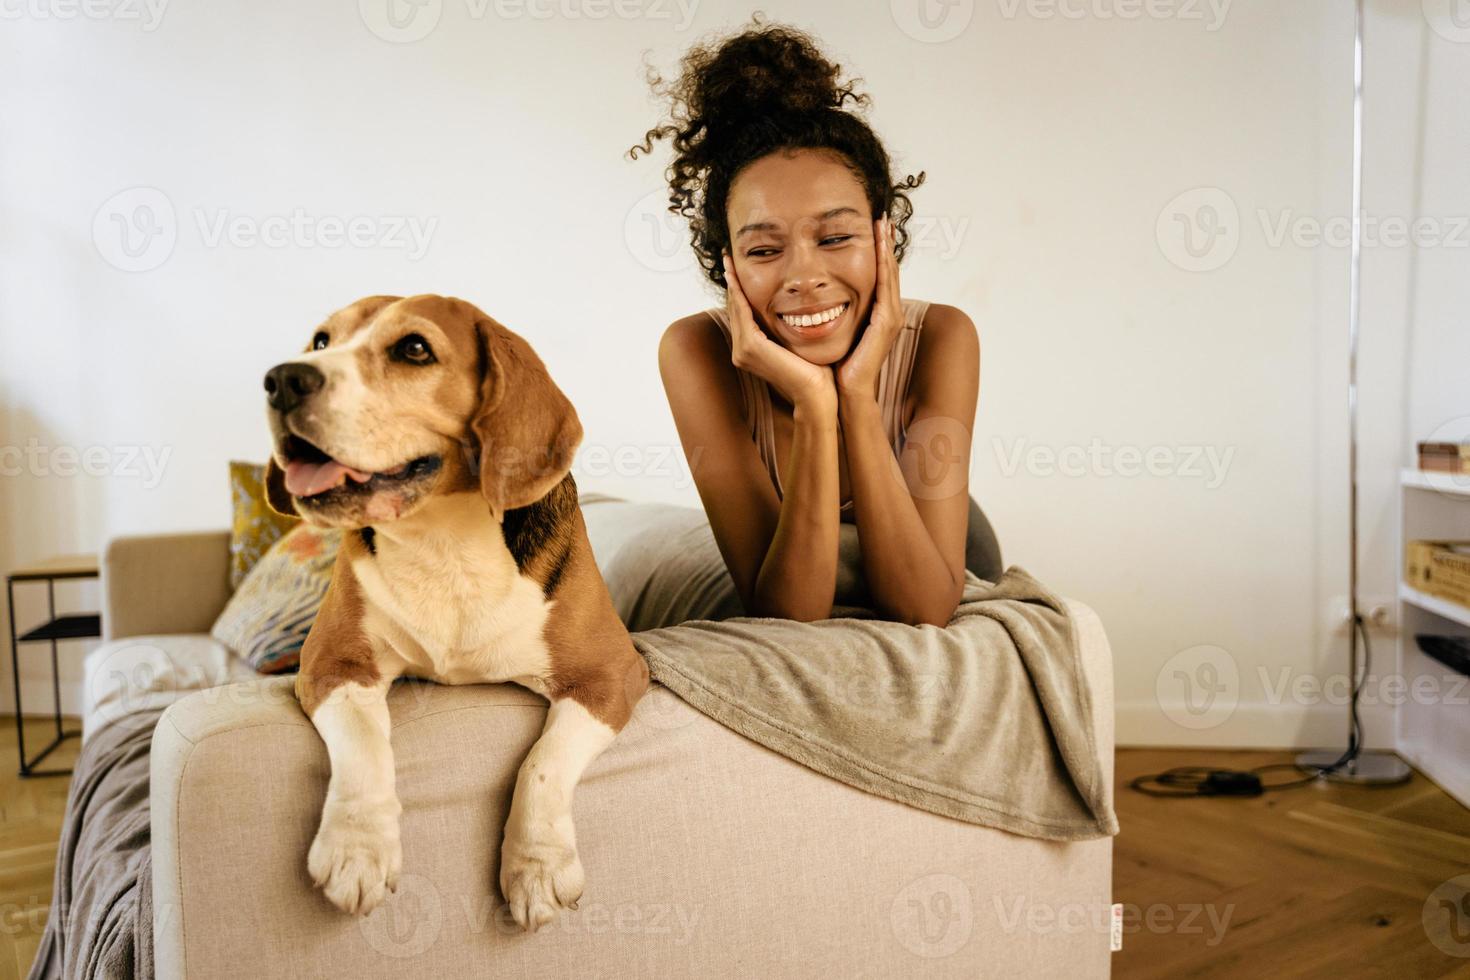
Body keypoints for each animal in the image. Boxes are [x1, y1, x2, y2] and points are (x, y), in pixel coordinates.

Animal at [263, 293, 649, 934]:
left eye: (414, 349)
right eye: (320, 342)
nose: (281, 379)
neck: (440, 540)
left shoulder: (611, 673)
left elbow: (542, 762)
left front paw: (538, 865)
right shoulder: (331, 663)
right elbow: (365, 744)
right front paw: (357, 848)